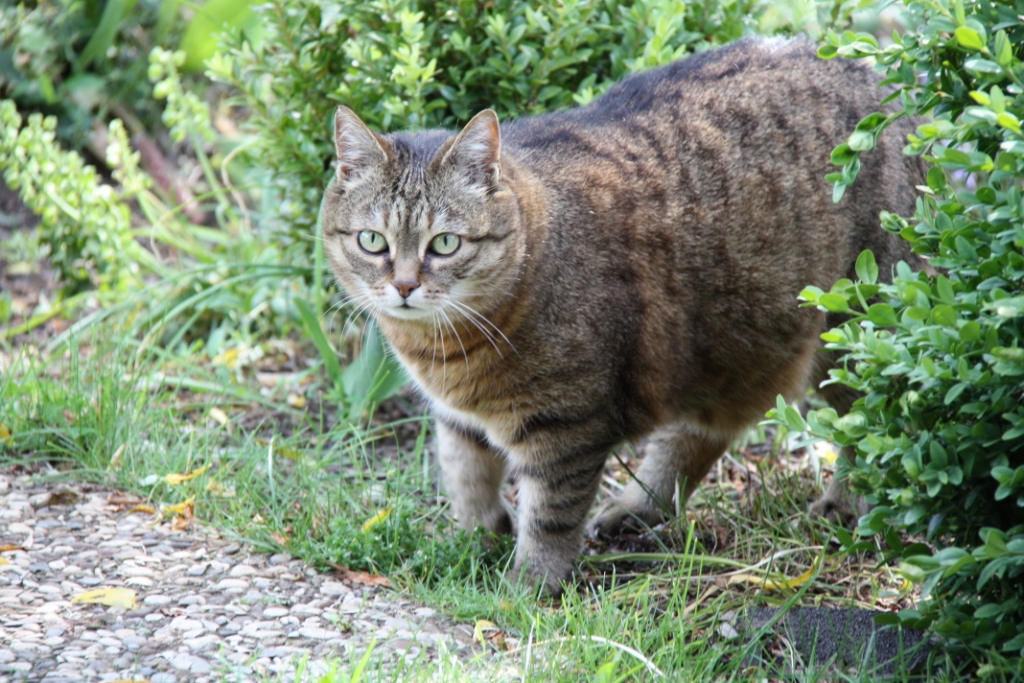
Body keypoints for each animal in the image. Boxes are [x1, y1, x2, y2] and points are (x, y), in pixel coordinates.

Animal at [321, 37, 929, 593]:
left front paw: (526, 585)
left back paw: (845, 505)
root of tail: (886, 74)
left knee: (873, 428)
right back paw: (639, 506)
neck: (445, 351)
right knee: (707, 429)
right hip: (732, 342)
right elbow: (463, 472)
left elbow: (550, 515)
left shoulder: (567, 426)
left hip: (852, 336)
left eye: (445, 244)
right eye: (372, 240)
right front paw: (476, 537)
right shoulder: (457, 418)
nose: (403, 285)